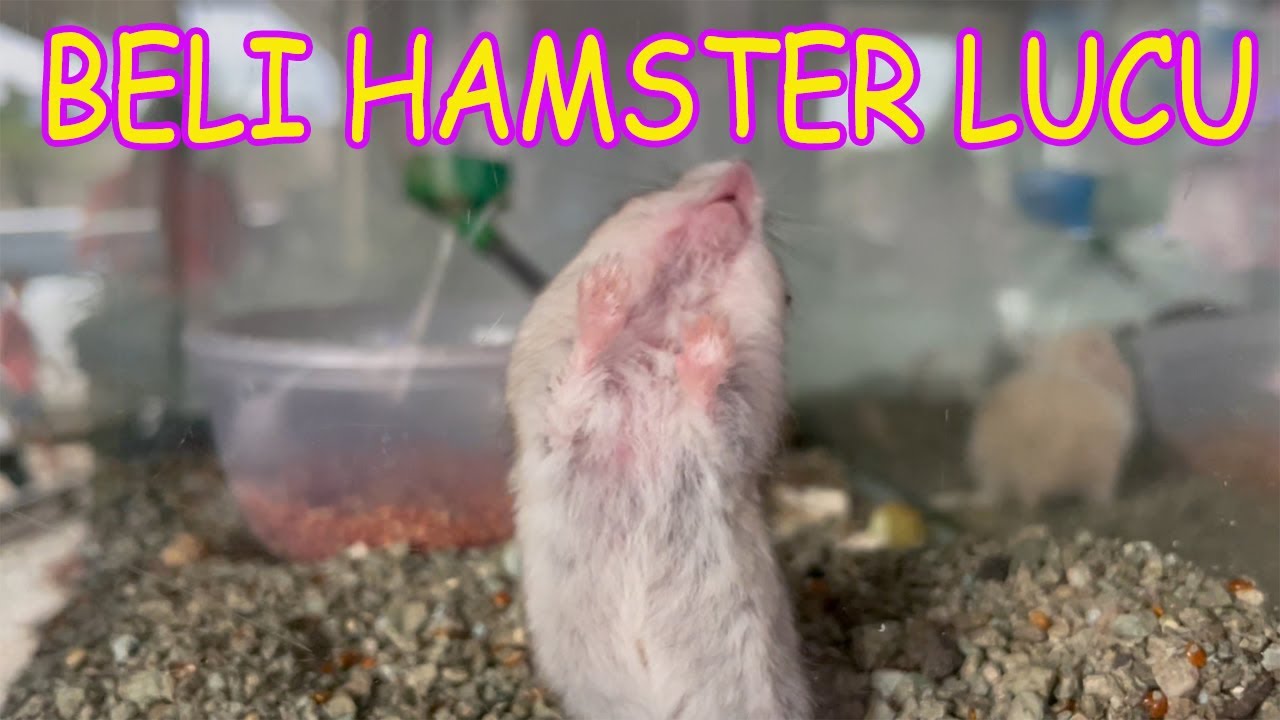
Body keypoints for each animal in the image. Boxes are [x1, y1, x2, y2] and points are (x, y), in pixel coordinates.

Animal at [505, 160, 811, 720]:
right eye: (638, 198)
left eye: (787, 295)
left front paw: (708, 336)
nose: (741, 167)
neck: (668, 315)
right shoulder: (554, 417)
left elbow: (709, 410)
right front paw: (606, 290)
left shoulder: (737, 430)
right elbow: (578, 372)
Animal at [966, 326, 1137, 509]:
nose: (1127, 378)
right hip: (1104, 468)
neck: (1063, 363)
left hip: (984, 460)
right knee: (1097, 494)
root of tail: (1031, 478)